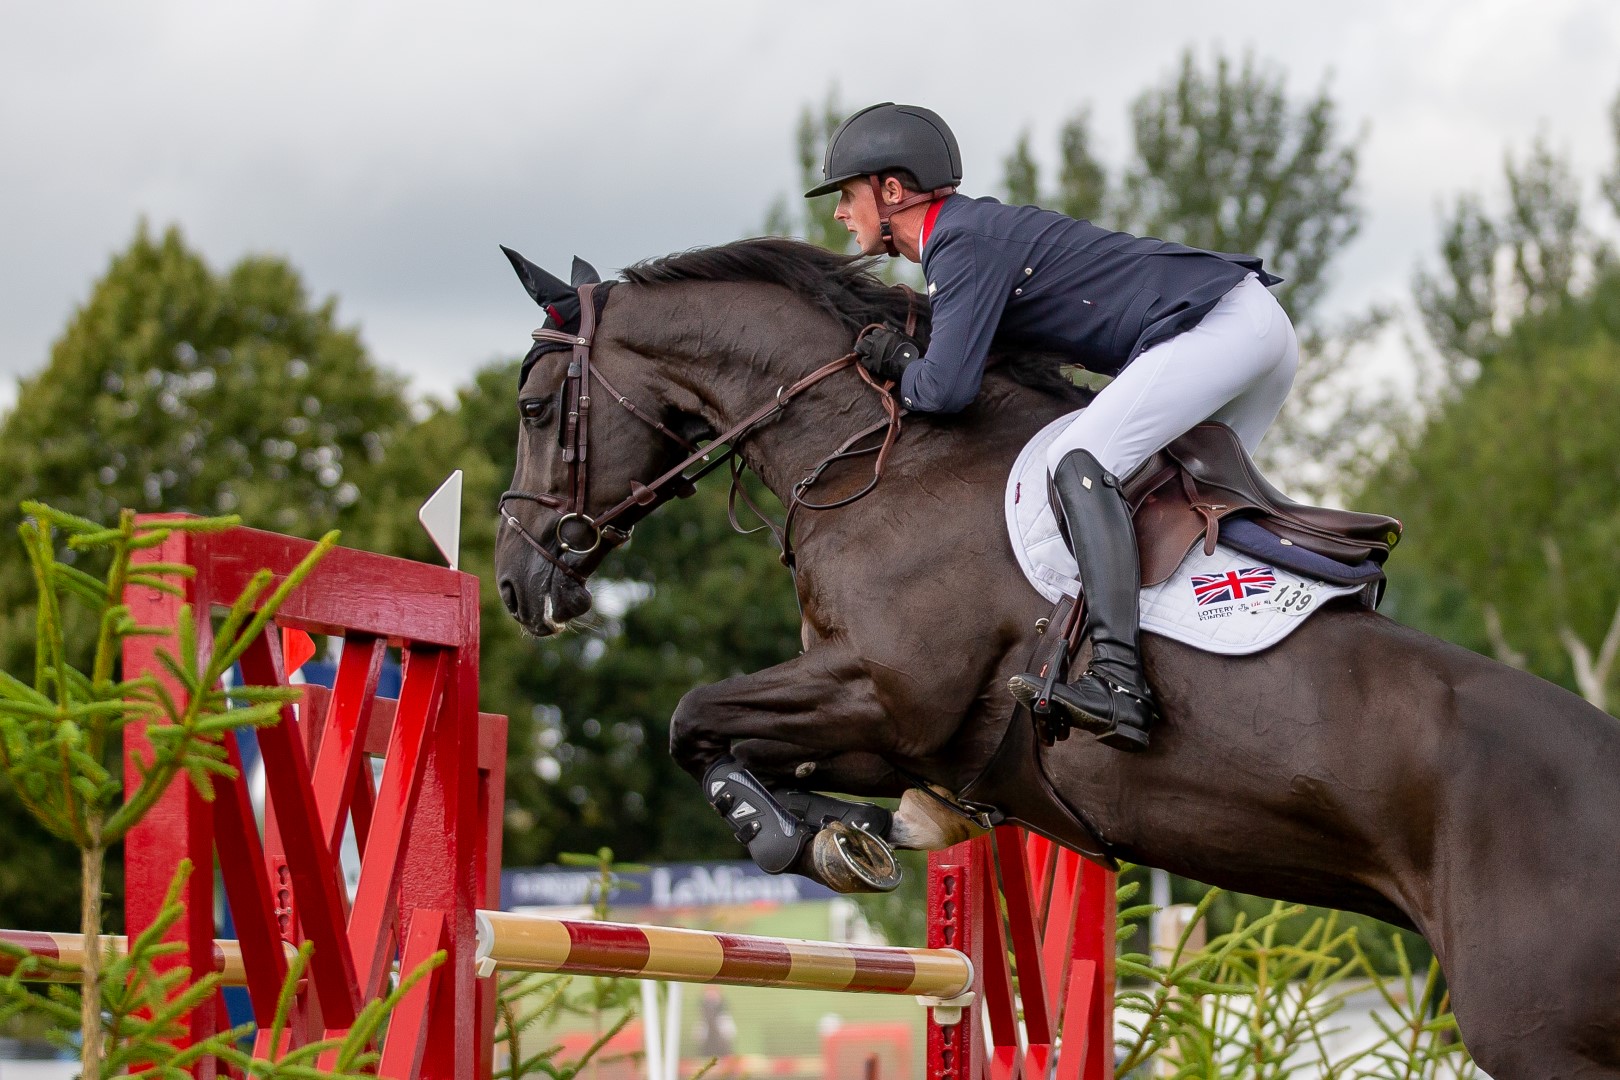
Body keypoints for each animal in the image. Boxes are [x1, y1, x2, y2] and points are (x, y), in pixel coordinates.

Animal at [492, 237, 1620, 1079]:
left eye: (536, 409)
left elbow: (694, 716)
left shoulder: (885, 695)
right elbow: (747, 742)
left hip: (1538, 1037)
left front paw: (798, 836)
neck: (879, 453)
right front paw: (850, 830)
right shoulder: (903, 733)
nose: (515, 583)